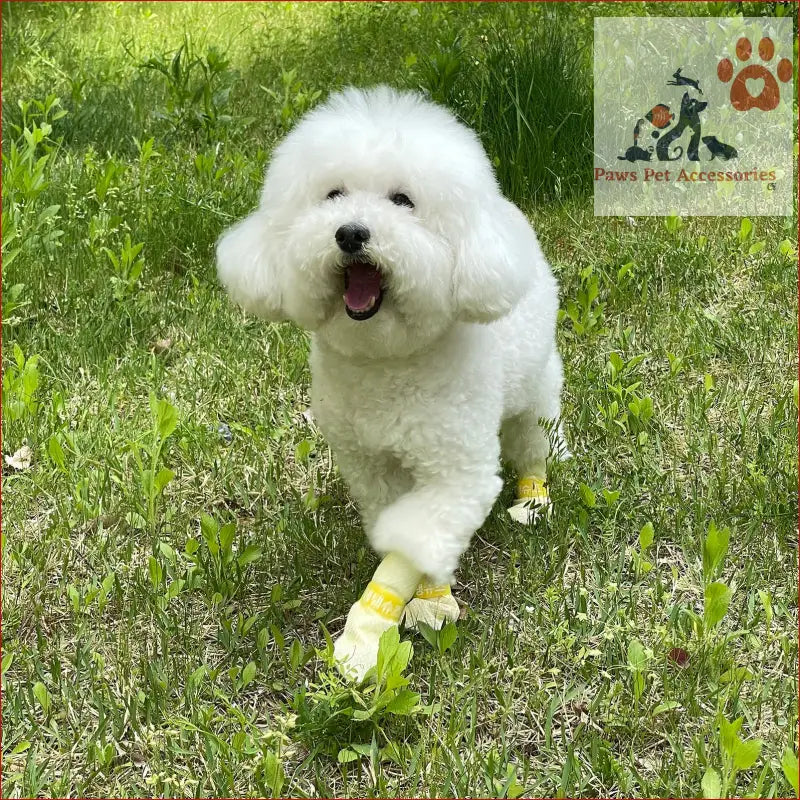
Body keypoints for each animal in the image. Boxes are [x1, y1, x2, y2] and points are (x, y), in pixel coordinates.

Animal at [220, 86, 564, 676]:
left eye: (403, 200)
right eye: (333, 194)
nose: (351, 232)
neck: (387, 362)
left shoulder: (456, 475)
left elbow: (415, 539)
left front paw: (371, 628)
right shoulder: (370, 466)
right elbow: (399, 531)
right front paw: (422, 600)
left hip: (534, 397)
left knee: (532, 447)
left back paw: (532, 501)